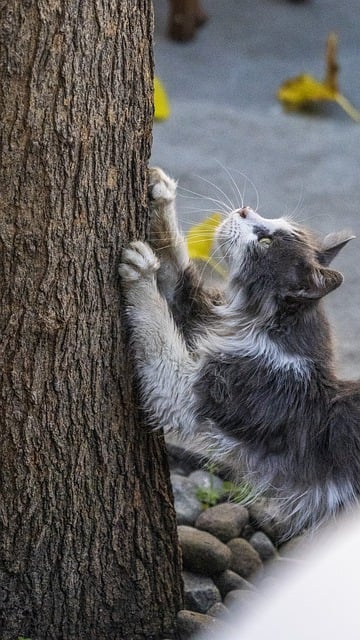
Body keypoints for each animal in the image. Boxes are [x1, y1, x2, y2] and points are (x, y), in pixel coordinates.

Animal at [119, 168, 358, 536]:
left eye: (266, 243)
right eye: (270, 221)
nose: (245, 209)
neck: (261, 327)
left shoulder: (190, 391)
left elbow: (156, 321)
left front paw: (142, 272)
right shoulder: (208, 316)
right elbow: (178, 274)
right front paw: (162, 194)